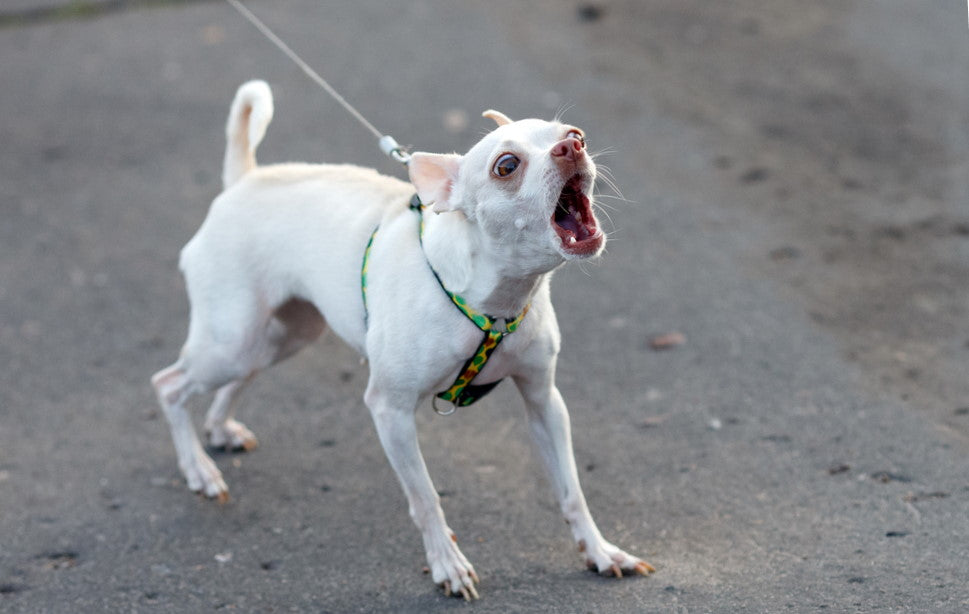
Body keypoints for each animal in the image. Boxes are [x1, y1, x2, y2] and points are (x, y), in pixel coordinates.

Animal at [149, 80, 652, 600]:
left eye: (575, 134)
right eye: (506, 165)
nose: (572, 148)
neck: (493, 301)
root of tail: (243, 181)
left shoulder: (544, 403)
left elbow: (571, 491)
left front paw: (600, 551)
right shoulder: (390, 411)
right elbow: (426, 497)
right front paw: (447, 565)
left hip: (279, 337)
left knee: (232, 378)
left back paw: (220, 429)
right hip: (231, 340)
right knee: (168, 385)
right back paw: (198, 469)